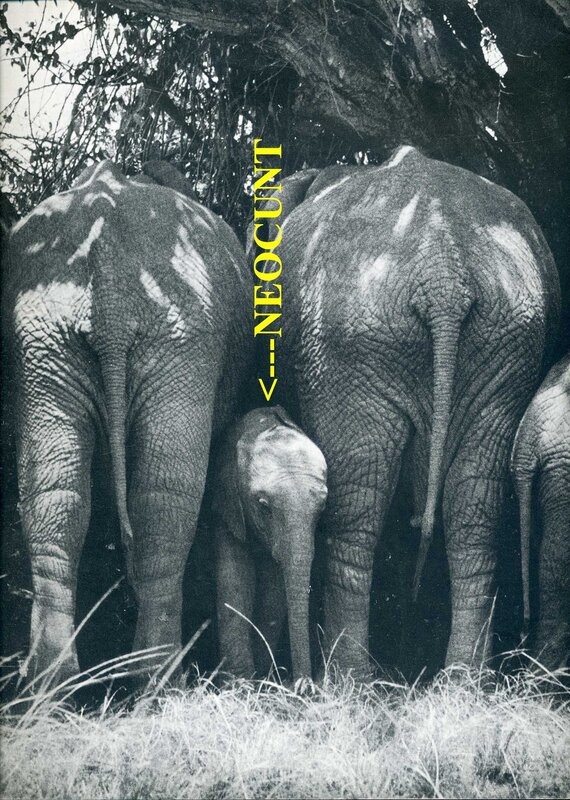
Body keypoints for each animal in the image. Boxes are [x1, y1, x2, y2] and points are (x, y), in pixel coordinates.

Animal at [3, 160, 252, 681]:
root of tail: (109, 268)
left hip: (46, 337)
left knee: (58, 491)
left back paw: (54, 679)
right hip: (174, 328)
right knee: (164, 498)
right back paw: (156, 677)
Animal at [211, 405, 327, 679]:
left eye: (321, 510)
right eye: (264, 508)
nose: (303, 686)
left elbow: (273, 595)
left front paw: (262, 680)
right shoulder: (228, 509)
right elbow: (235, 583)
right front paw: (240, 683)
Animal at [251, 144, 561, 677]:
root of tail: (444, 274)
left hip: (349, 343)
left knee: (357, 512)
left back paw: (348, 680)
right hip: (505, 340)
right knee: (473, 511)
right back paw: (459, 681)